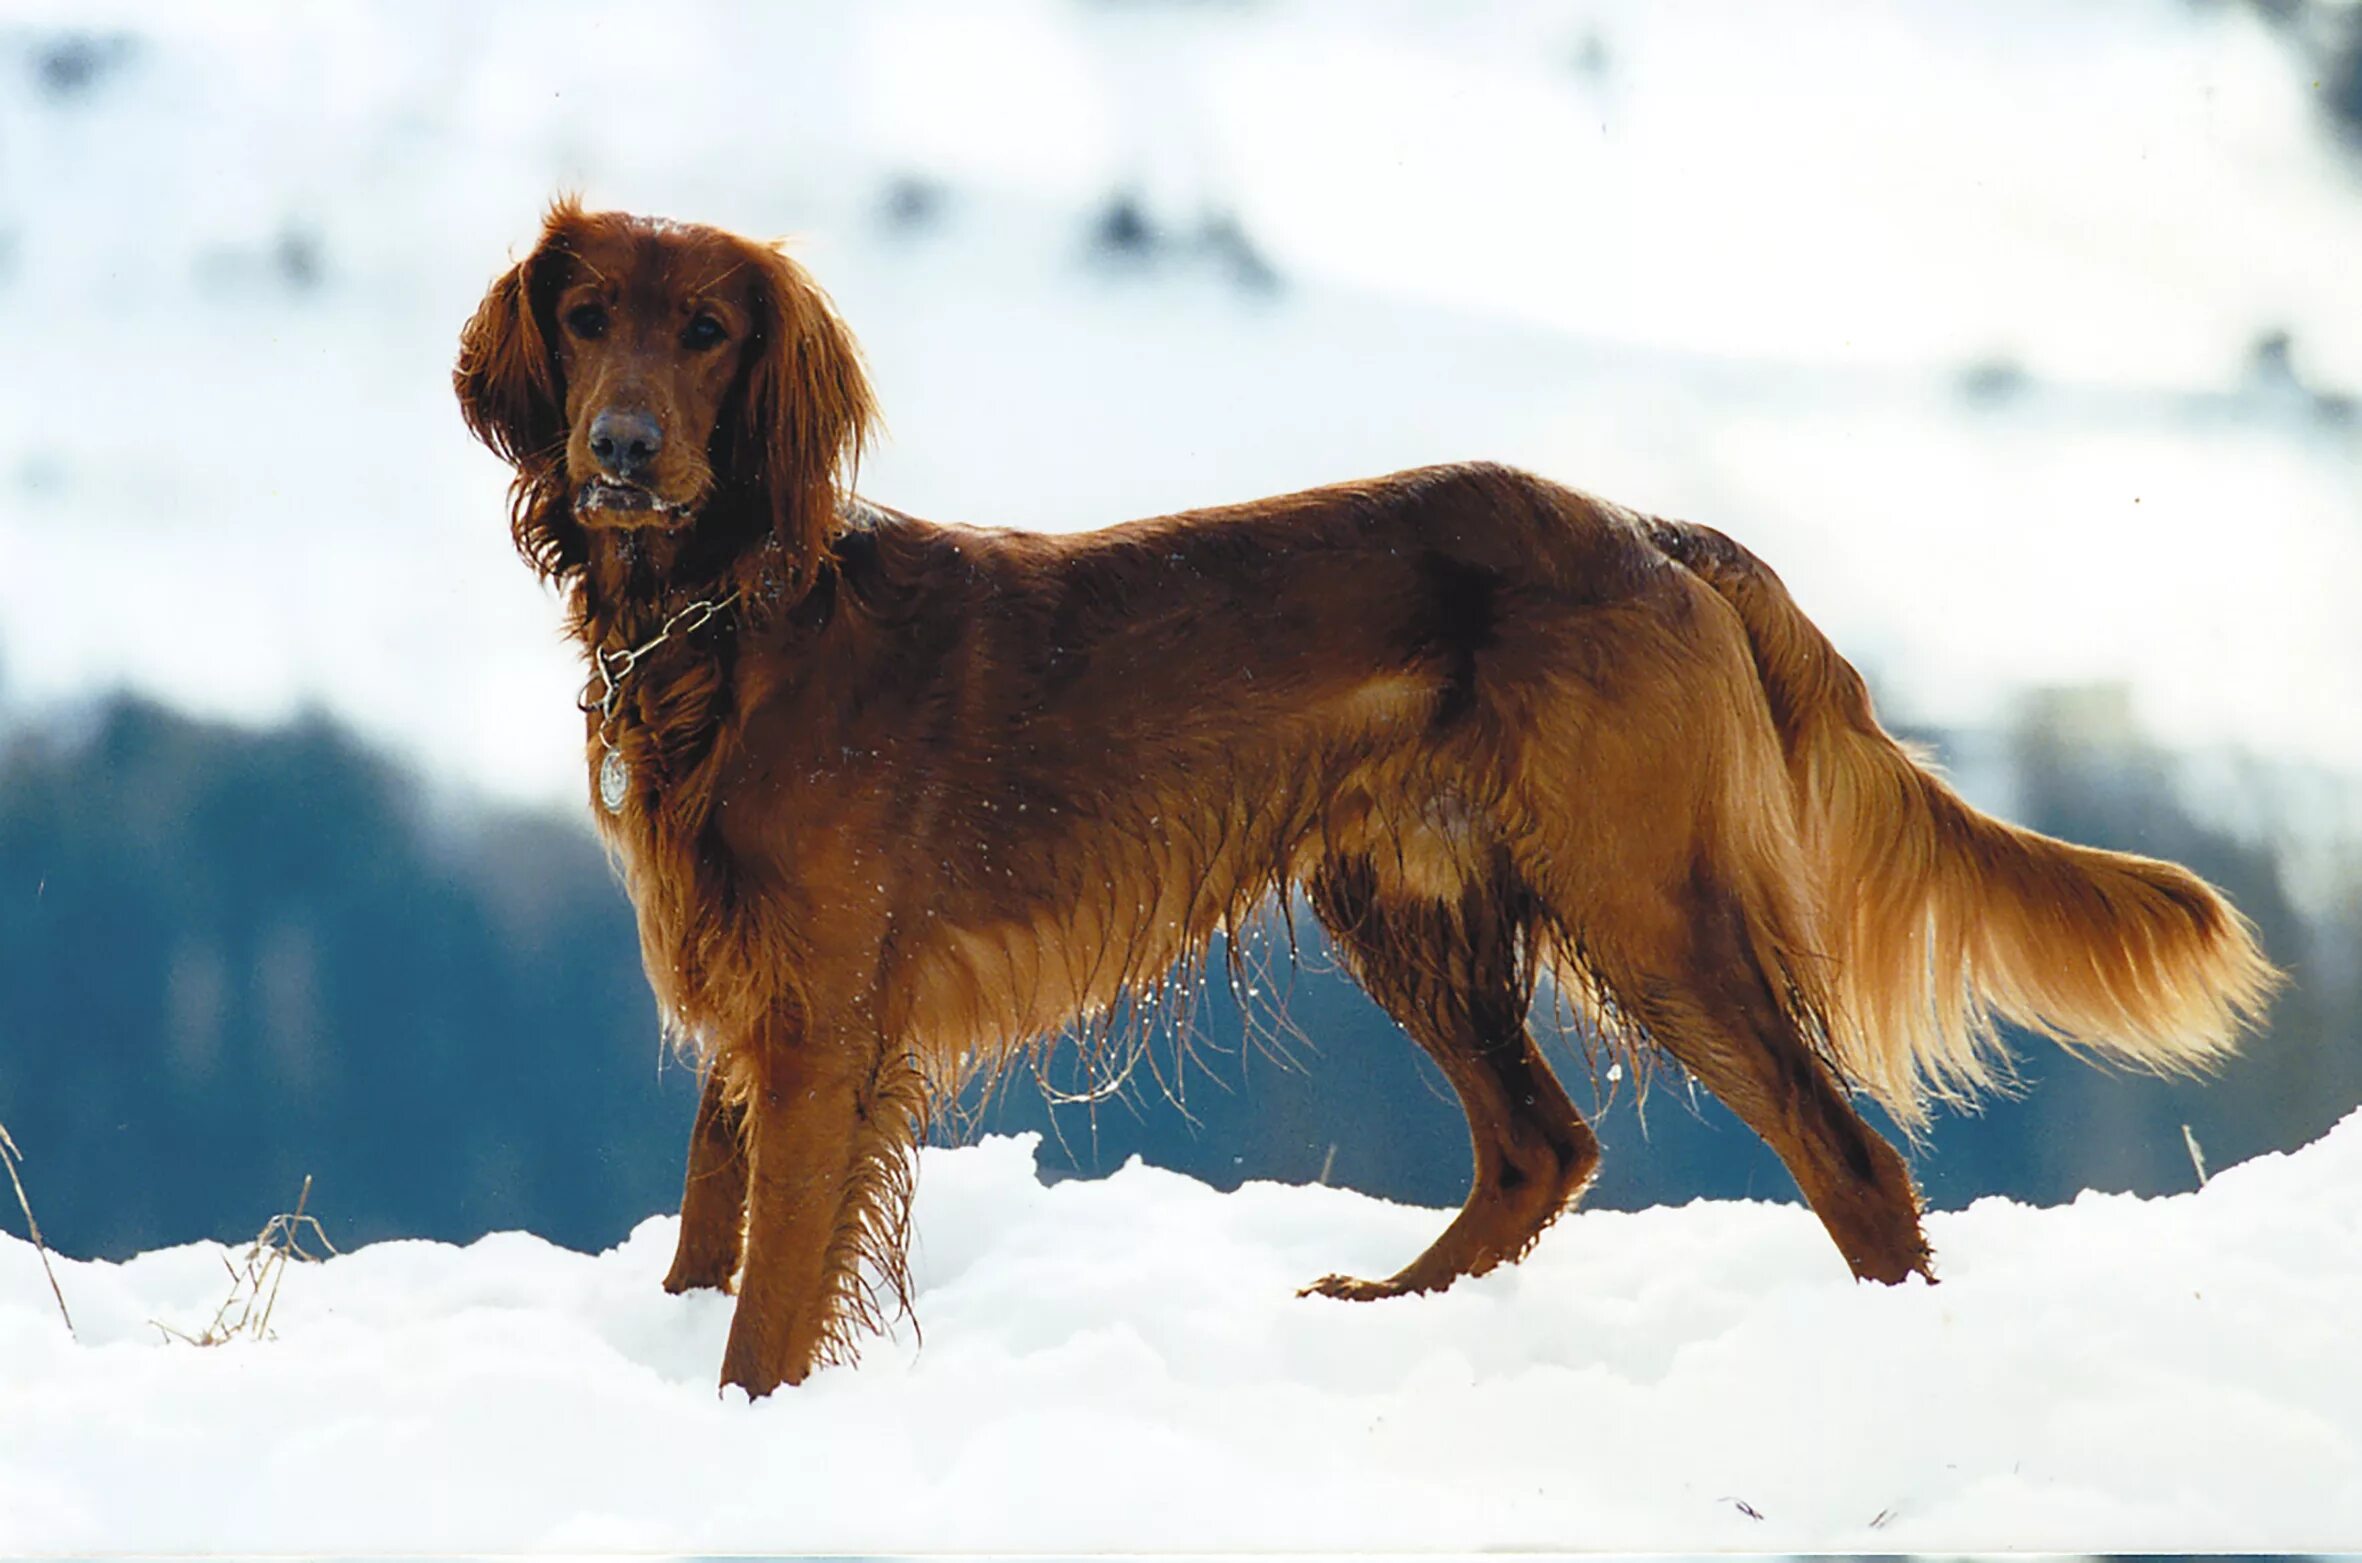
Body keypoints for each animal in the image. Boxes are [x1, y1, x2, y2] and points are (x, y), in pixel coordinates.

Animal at [451, 201, 2276, 1397]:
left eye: (708, 331)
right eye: (587, 314)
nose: (619, 451)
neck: (735, 614)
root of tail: (1654, 530)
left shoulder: (827, 1015)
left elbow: (769, 1294)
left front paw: (741, 1419)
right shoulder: (751, 994)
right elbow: (711, 1230)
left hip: (1645, 898)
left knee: (1848, 1160)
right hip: (1403, 894)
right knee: (1543, 1141)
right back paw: (1379, 1314)